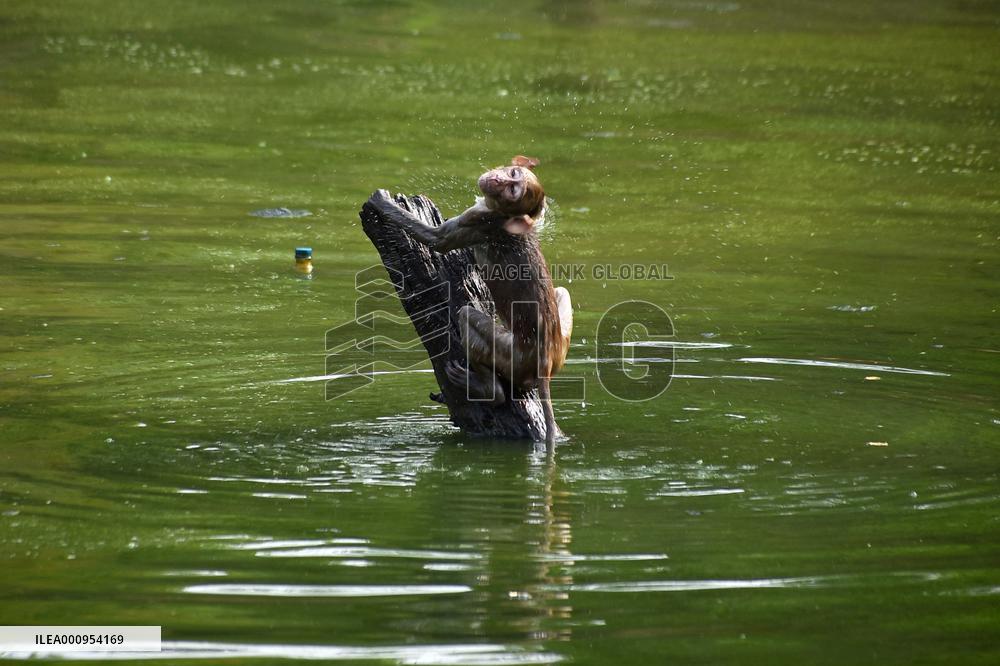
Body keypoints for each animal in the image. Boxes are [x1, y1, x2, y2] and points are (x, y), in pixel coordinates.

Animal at [367, 156, 572, 445]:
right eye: (513, 174)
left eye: (513, 190)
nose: (498, 179)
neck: (501, 213)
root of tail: (545, 362)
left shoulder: (480, 221)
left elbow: (438, 240)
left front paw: (381, 202)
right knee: (562, 291)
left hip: (511, 354)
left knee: (467, 317)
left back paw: (487, 389)